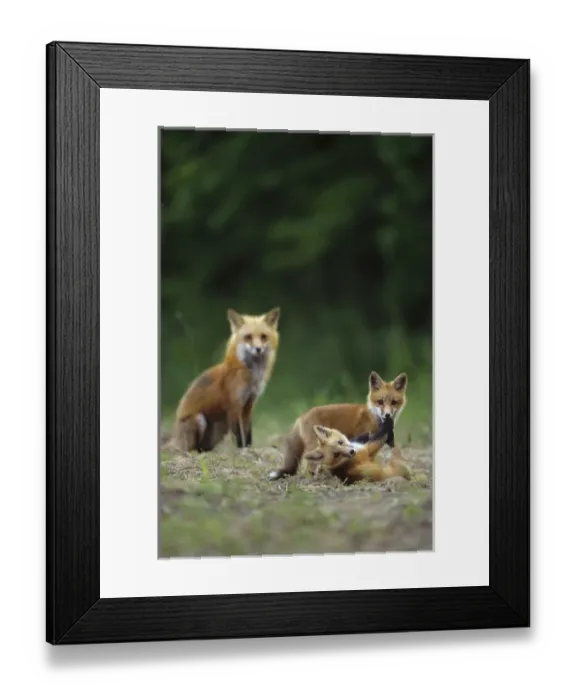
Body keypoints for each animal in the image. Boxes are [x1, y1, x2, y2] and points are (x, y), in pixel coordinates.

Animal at [172, 307, 280, 453]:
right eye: (248, 337)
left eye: (263, 337)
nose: (258, 349)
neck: (251, 376)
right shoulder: (234, 406)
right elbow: (240, 435)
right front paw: (243, 451)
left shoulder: (249, 404)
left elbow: (248, 434)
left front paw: (249, 449)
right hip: (199, 420)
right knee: (192, 449)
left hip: (221, 429)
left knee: (204, 448)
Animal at [268, 370, 408, 481]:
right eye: (380, 402)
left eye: (394, 402)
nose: (387, 415)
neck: (373, 417)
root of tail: (301, 416)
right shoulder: (368, 439)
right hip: (315, 446)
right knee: (310, 468)